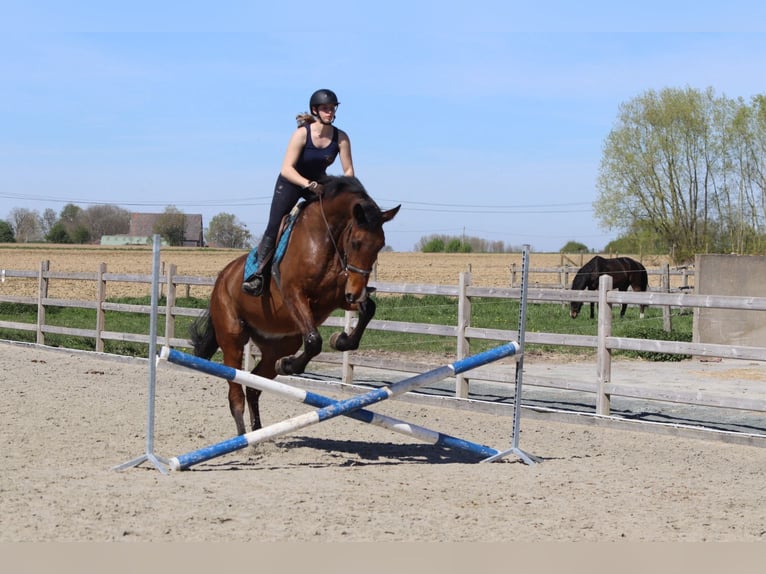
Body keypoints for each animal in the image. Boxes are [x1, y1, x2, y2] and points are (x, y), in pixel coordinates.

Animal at [189, 176, 400, 436]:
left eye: (380, 245)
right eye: (356, 242)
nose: (357, 293)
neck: (325, 241)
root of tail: (221, 278)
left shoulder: (338, 296)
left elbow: (368, 310)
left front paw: (340, 341)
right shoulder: (295, 295)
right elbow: (313, 340)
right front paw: (290, 365)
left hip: (278, 343)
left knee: (254, 385)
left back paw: (260, 432)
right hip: (232, 338)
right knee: (236, 391)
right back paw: (243, 437)